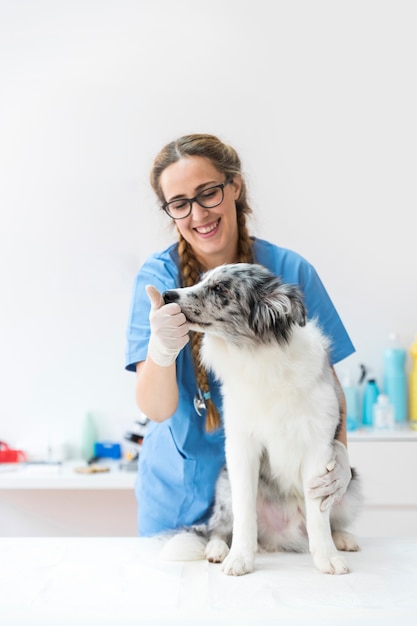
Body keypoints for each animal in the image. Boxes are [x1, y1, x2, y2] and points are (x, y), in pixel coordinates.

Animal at [161, 260, 360, 572]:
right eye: (201, 280)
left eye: (220, 289)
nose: (167, 295)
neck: (259, 355)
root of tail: (283, 536)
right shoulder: (242, 448)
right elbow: (245, 512)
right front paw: (240, 558)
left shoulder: (319, 450)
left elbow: (319, 516)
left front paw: (327, 558)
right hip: (223, 484)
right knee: (219, 528)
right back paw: (218, 549)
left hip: (351, 485)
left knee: (331, 518)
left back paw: (343, 538)